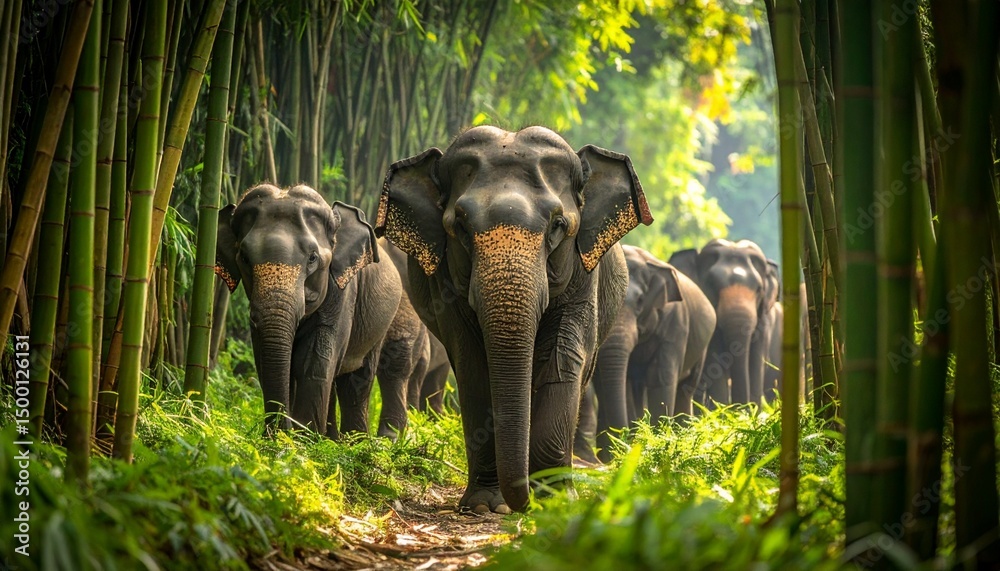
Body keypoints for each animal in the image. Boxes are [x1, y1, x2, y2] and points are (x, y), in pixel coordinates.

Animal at [214, 184, 417, 439]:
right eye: (244, 257)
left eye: (312, 258)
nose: (279, 430)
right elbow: (266, 358)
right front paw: (288, 438)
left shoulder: (342, 292)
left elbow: (314, 360)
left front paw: (304, 439)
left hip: (380, 321)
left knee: (358, 378)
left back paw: (354, 441)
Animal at [376, 125, 652, 513]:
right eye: (460, 227)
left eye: (558, 225)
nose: (523, 503)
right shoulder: (445, 286)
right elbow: (474, 367)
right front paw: (485, 506)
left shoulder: (584, 275)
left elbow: (561, 358)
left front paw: (554, 501)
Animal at [580, 245, 716, 462]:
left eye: (641, 300)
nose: (624, 441)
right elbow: (624, 382)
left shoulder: (675, 328)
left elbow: (659, 379)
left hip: (701, 345)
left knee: (686, 387)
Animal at [669, 239, 774, 406]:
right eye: (712, 285)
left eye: (759, 289)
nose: (743, 407)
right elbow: (715, 358)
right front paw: (722, 408)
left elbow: (756, 360)